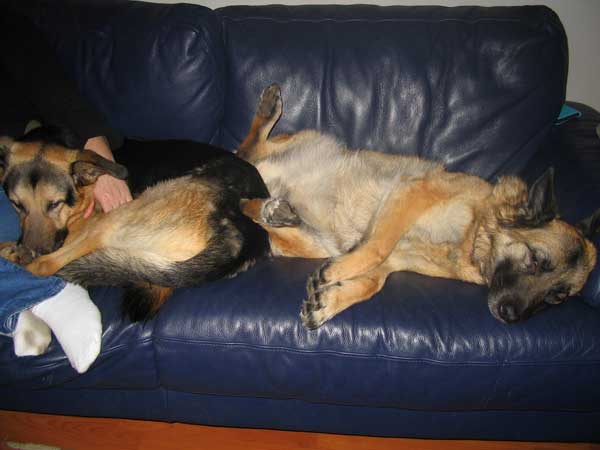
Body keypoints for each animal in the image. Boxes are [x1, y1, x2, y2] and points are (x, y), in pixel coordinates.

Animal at [0, 126, 270, 322]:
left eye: (55, 204)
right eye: (16, 204)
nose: (32, 250)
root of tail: (244, 234)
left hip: (120, 215)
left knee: (46, 266)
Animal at [237, 84, 596, 328]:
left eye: (557, 297)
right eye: (534, 260)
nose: (510, 316)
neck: (473, 235)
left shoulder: (397, 260)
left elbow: (373, 282)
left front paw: (330, 299)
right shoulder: (410, 193)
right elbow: (376, 247)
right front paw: (335, 275)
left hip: (312, 241)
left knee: (264, 214)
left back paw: (273, 211)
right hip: (306, 143)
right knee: (249, 150)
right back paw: (268, 112)